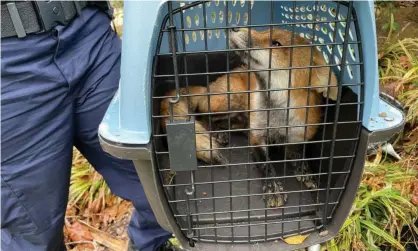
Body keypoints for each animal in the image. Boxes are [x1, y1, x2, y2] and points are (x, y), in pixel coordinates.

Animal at [160, 27, 340, 208]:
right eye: (265, 30)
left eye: (276, 43)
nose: (234, 27)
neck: (278, 118)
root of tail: (209, 87)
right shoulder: (257, 137)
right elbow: (266, 165)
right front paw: (273, 188)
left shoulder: (298, 136)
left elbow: (300, 155)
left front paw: (306, 172)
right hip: (230, 100)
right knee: (203, 115)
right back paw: (217, 133)